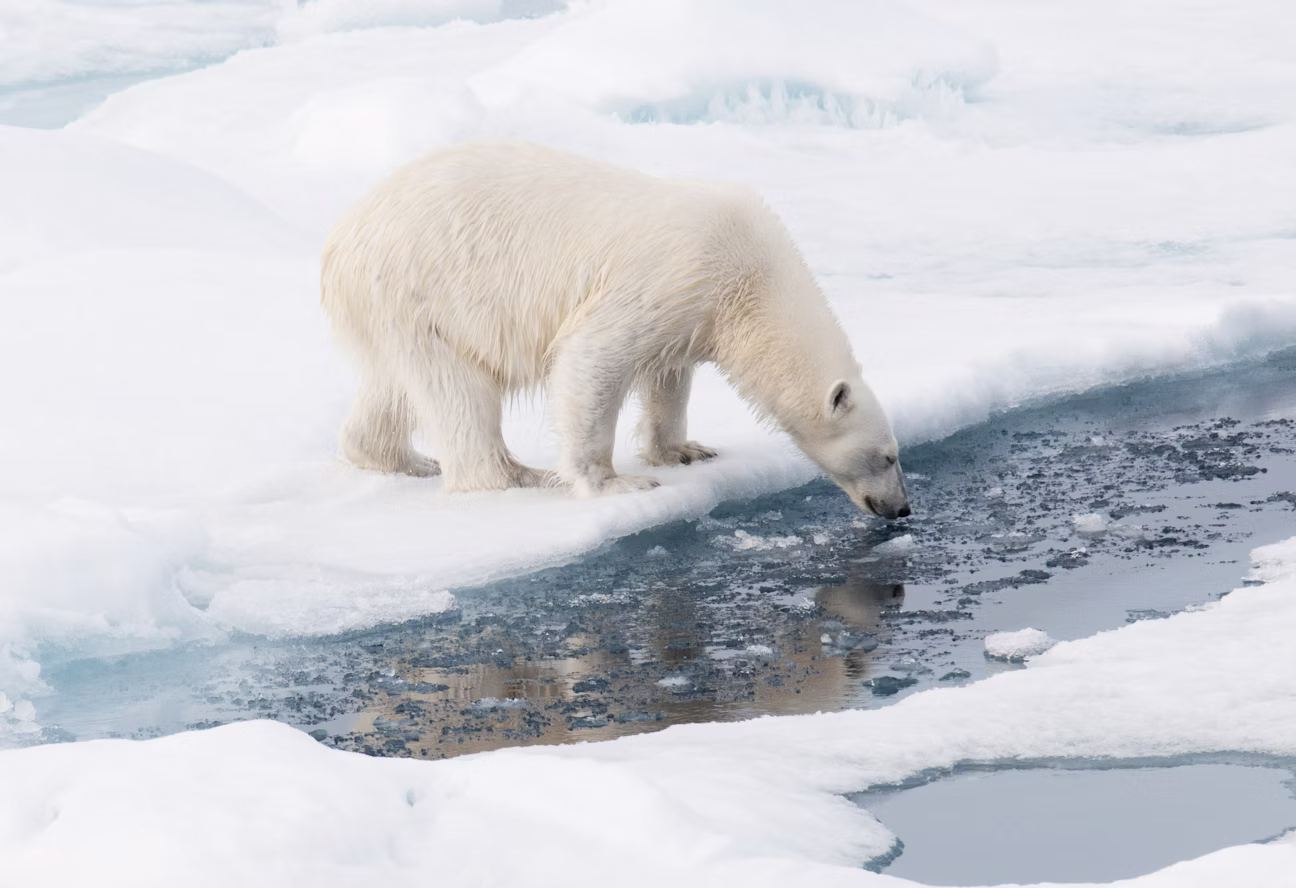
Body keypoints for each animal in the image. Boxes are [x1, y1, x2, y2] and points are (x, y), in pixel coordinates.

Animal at [321, 141, 910, 519]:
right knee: (459, 393)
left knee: (396, 385)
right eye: (888, 456)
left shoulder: (694, 310)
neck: (754, 278)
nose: (901, 508)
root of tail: (342, 238)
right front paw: (615, 482)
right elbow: (592, 357)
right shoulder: (672, 274)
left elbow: (670, 376)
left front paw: (684, 450)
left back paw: (399, 457)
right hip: (427, 287)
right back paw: (516, 475)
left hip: (396, 312)